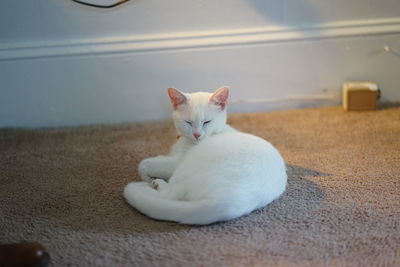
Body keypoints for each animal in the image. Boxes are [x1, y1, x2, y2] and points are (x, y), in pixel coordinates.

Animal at [123, 87, 286, 225]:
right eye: (188, 122)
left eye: (207, 122)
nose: (197, 135)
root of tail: (234, 200)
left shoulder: (175, 162)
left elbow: (144, 163)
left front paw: (145, 176)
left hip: (186, 167)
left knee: (169, 194)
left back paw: (154, 184)